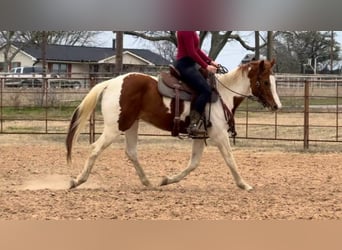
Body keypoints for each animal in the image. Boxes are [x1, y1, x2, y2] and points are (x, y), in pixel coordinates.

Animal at [66, 59, 280, 190]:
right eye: (265, 82)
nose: (277, 105)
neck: (222, 94)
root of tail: (110, 83)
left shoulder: (200, 135)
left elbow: (193, 164)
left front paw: (166, 180)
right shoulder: (219, 134)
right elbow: (230, 159)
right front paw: (244, 184)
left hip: (131, 125)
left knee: (131, 152)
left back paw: (148, 182)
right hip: (114, 127)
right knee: (96, 148)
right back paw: (77, 180)